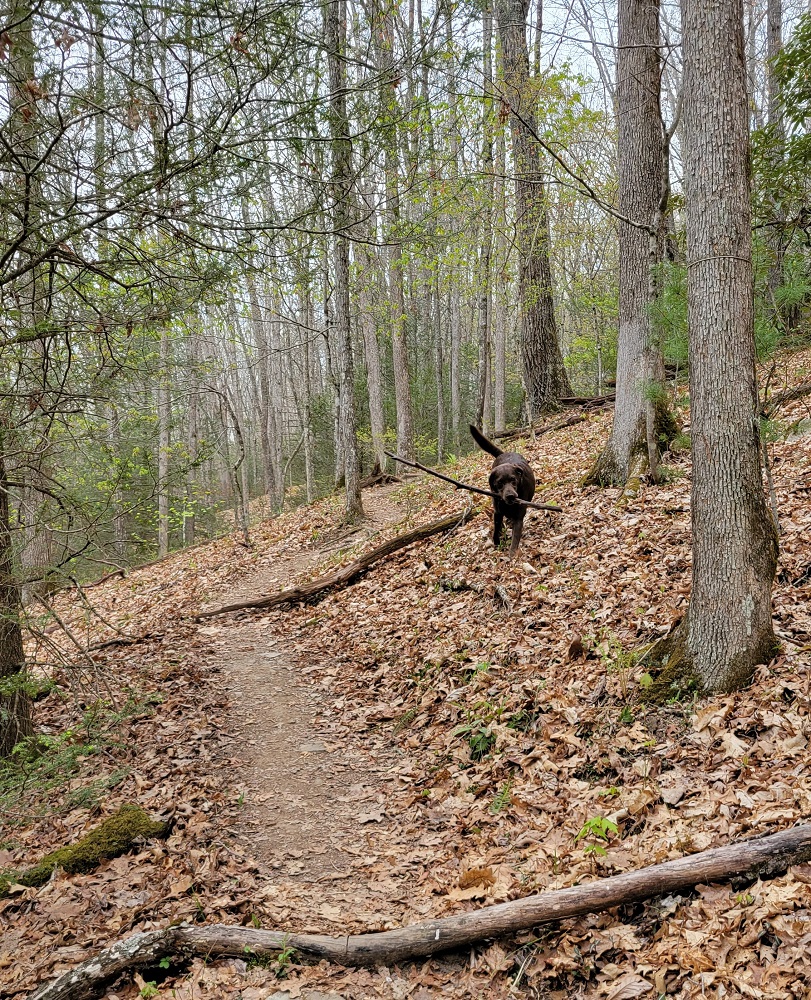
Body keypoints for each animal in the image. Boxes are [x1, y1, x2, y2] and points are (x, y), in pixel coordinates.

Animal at [470, 425, 536, 558]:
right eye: (500, 483)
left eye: (513, 480)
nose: (510, 496)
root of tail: (505, 453)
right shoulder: (498, 512)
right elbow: (496, 529)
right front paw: (497, 543)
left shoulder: (518, 517)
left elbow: (515, 538)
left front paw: (511, 555)